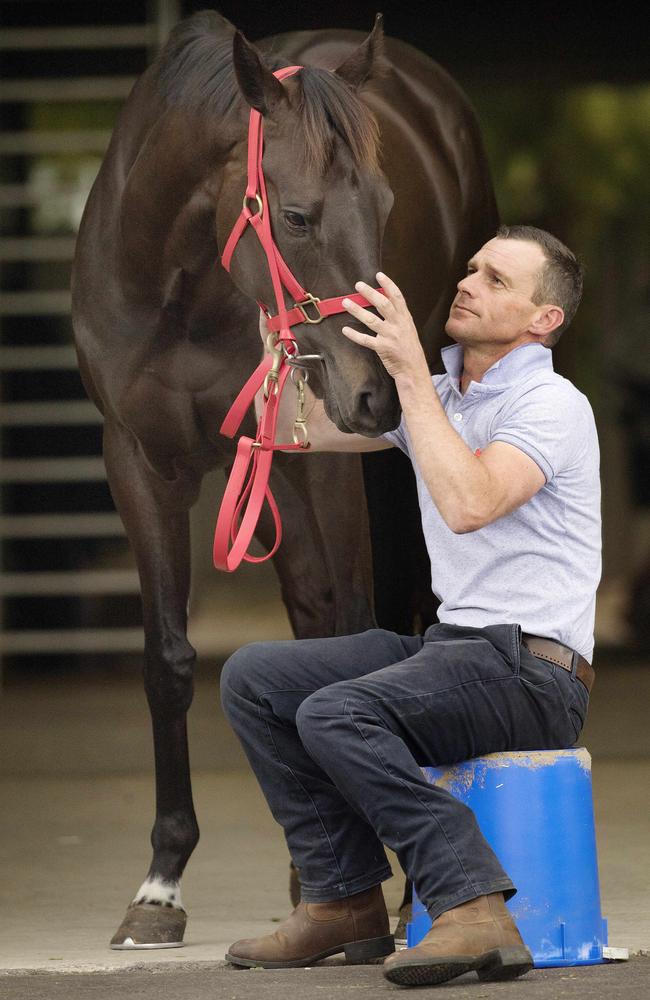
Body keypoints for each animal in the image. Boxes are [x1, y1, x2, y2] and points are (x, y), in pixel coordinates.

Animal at [71, 9, 496, 944]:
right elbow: (168, 659)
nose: (380, 393)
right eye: (297, 216)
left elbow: (349, 629)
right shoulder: (138, 463)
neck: (182, 285)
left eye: (385, 207)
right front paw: (160, 886)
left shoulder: (319, 460)